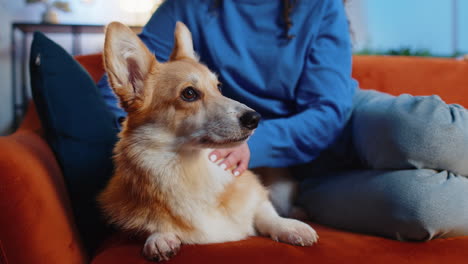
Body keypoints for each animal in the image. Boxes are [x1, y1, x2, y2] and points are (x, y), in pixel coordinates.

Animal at [98, 21, 318, 262]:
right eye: (189, 93)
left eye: (218, 87)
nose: (255, 118)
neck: (193, 168)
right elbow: (151, 225)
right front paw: (160, 238)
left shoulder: (256, 194)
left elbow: (266, 213)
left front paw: (291, 227)